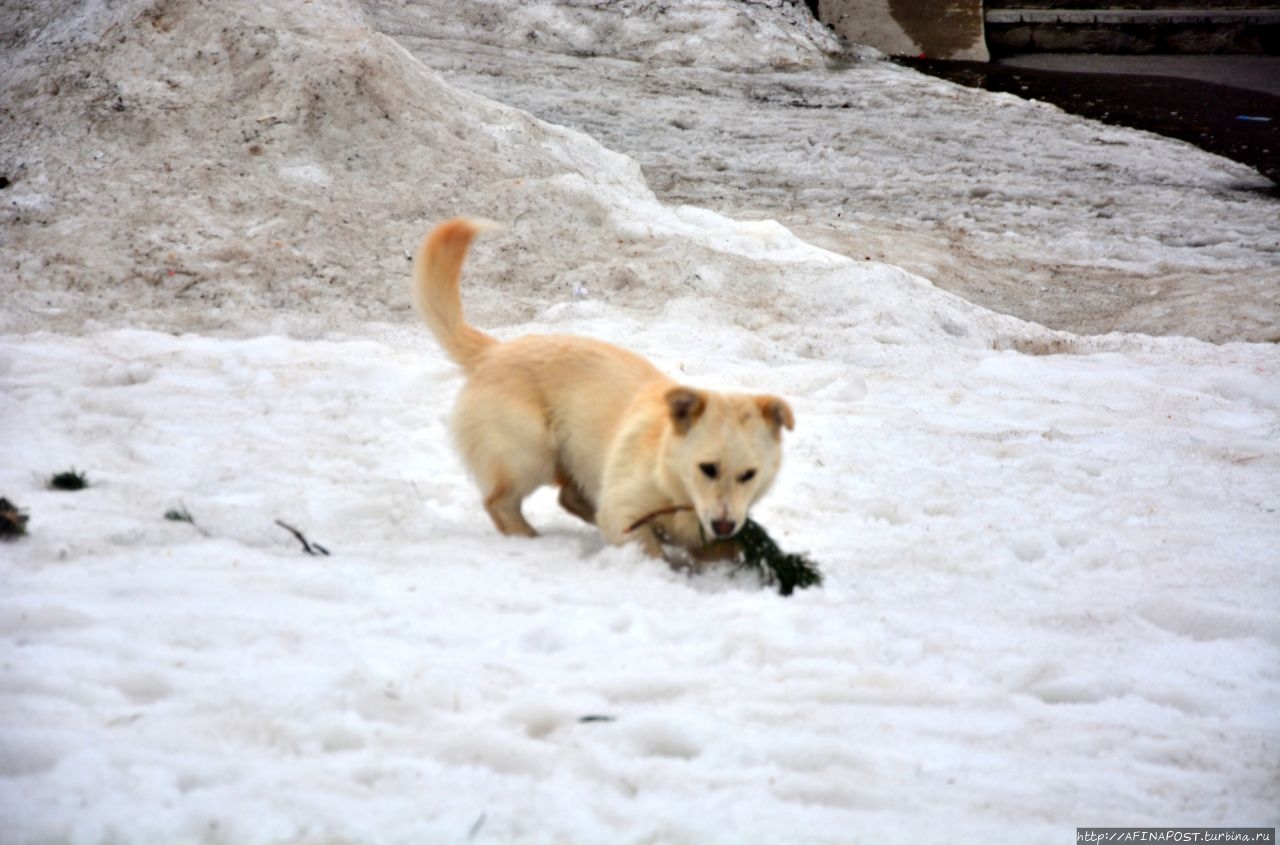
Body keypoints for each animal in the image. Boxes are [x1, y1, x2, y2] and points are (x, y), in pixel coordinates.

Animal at [414, 217, 793, 558]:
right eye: (708, 468)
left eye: (749, 475)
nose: (724, 525)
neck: (669, 474)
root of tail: (493, 351)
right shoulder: (623, 515)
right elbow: (648, 549)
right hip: (531, 452)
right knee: (501, 503)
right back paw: (531, 540)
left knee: (569, 497)